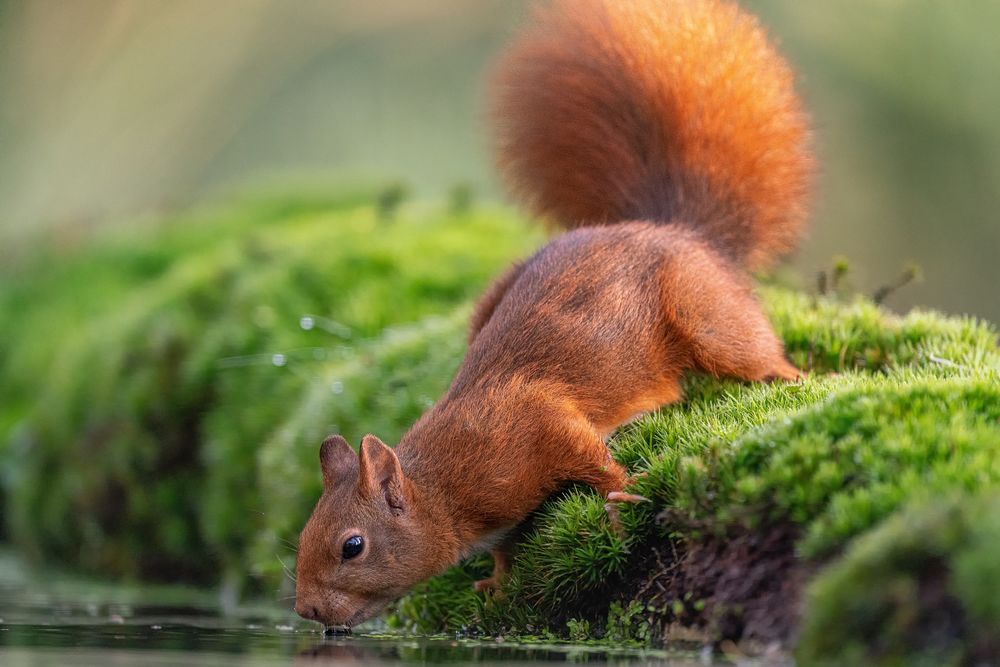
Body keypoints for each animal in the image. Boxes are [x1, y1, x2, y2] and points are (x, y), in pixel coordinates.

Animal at [292, 0, 808, 628]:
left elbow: (587, 453)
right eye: (301, 538)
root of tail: (675, 230)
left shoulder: (532, 423)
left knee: (750, 352)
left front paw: (620, 498)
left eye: (352, 546)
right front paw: (496, 581)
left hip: (704, 313)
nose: (307, 610)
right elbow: (508, 547)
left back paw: (792, 375)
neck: (440, 488)